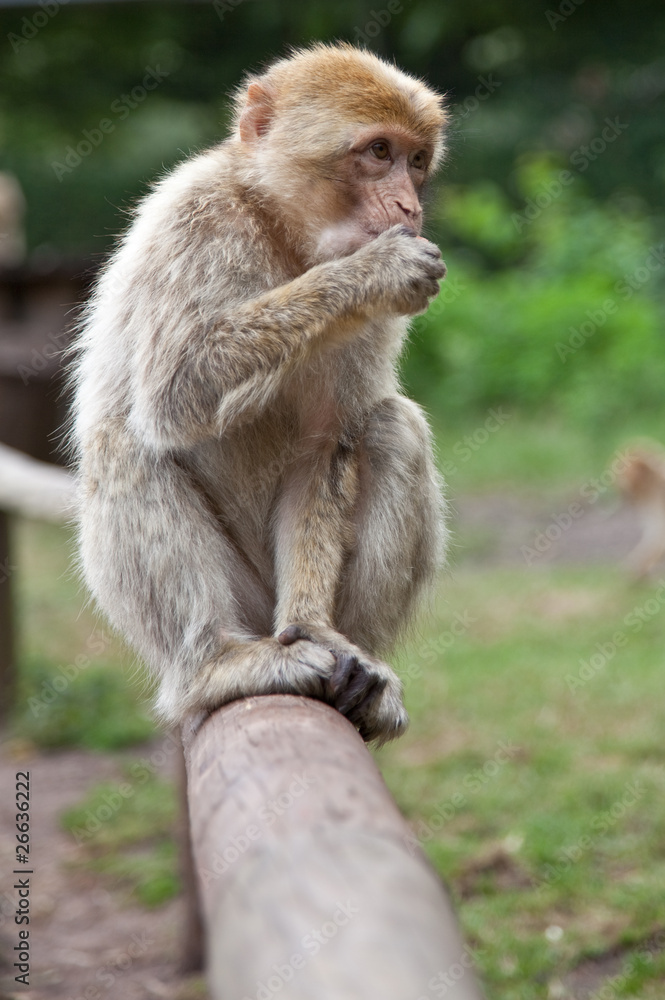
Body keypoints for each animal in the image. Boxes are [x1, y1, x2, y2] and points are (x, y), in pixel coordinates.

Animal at [70, 43, 446, 744]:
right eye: (379, 152)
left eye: (416, 161)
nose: (410, 209)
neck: (283, 233)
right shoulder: (198, 221)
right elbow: (179, 391)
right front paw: (368, 273)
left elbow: (328, 441)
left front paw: (322, 631)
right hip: (240, 602)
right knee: (124, 442)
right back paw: (213, 664)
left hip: (270, 601)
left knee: (393, 428)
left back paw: (359, 662)